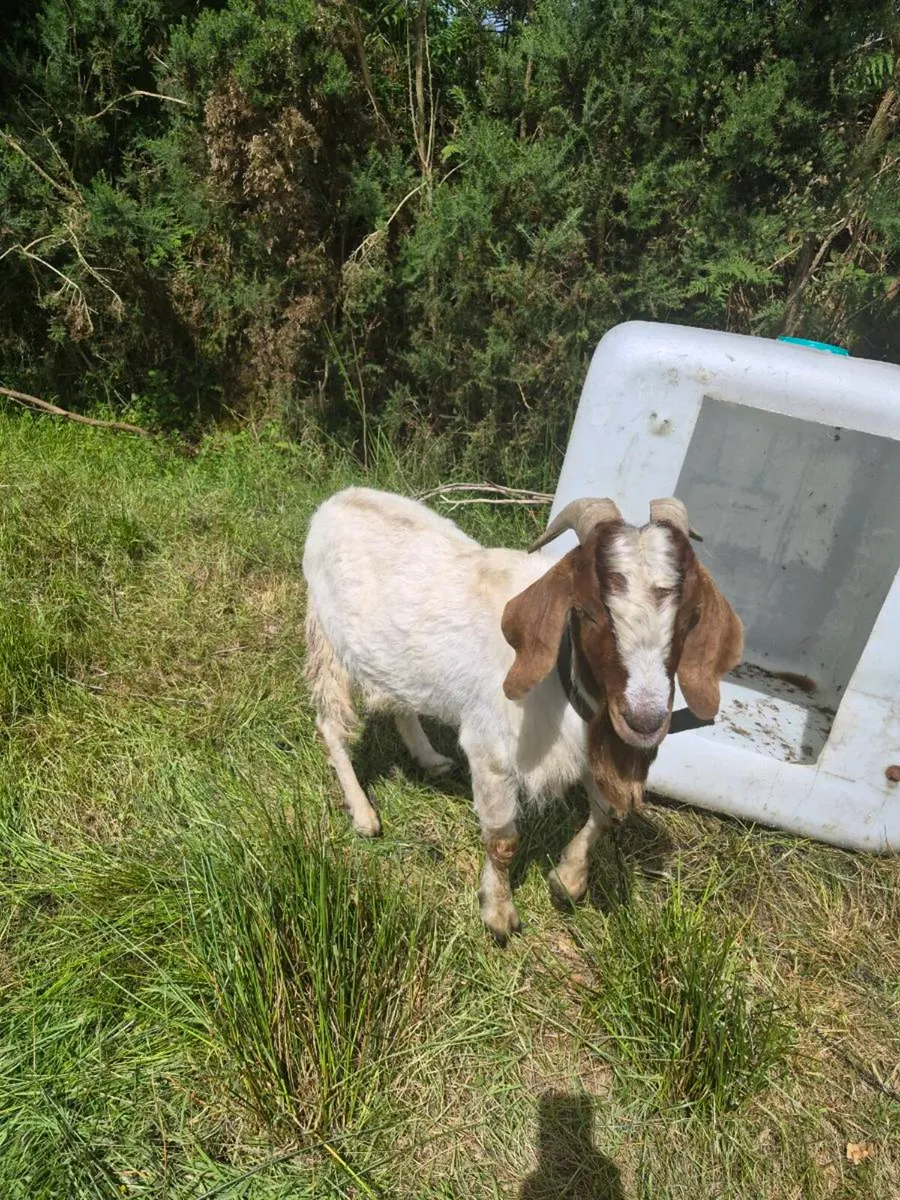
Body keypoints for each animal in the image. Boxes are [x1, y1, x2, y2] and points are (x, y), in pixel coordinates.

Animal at [303, 488, 743, 941]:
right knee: (331, 724)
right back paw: (363, 814)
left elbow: (605, 815)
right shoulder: (492, 754)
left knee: (399, 703)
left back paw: (429, 758)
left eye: (688, 619)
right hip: (328, 638)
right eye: (587, 612)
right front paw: (499, 914)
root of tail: (339, 500)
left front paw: (568, 881)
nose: (645, 720)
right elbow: (503, 842)